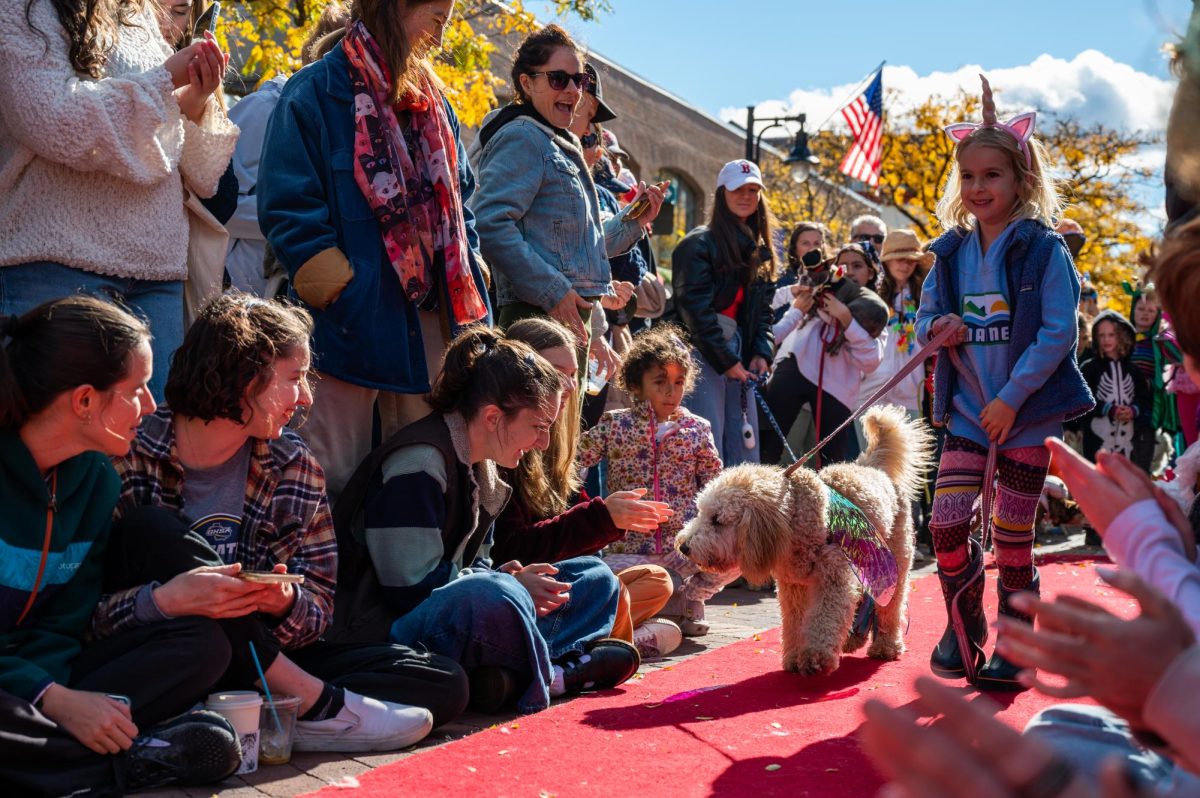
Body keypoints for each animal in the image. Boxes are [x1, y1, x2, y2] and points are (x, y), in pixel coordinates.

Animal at [681, 408, 931, 676]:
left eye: (717, 520)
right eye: (701, 512)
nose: (684, 546)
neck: (795, 520)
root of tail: (872, 467)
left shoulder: (833, 579)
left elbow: (824, 617)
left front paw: (815, 656)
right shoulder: (794, 586)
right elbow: (795, 622)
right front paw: (794, 658)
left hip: (894, 564)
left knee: (890, 607)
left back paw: (886, 646)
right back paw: (854, 638)